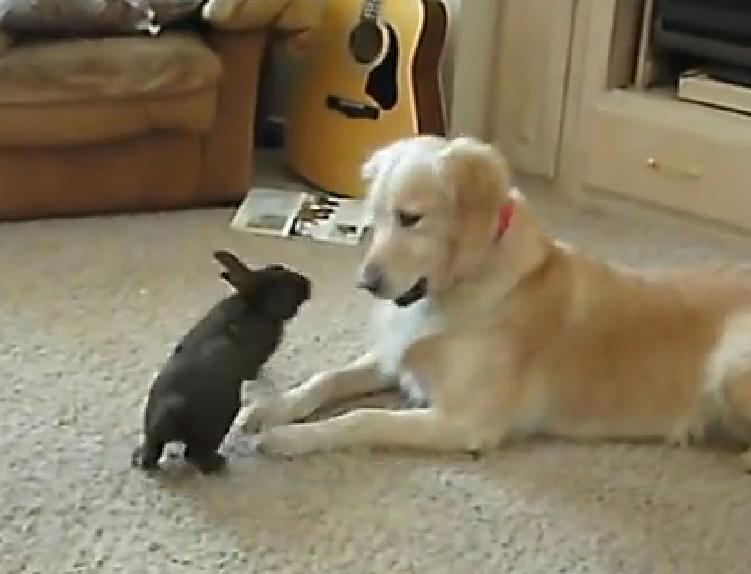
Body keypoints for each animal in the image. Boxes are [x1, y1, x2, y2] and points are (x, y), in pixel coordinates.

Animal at [239, 135, 751, 468]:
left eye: (410, 218)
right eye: (375, 217)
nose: (364, 282)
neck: (463, 281)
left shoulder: (463, 421)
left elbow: (363, 419)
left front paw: (289, 437)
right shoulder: (396, 356)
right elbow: (326, 379)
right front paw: (270, 409)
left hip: (732, 364)